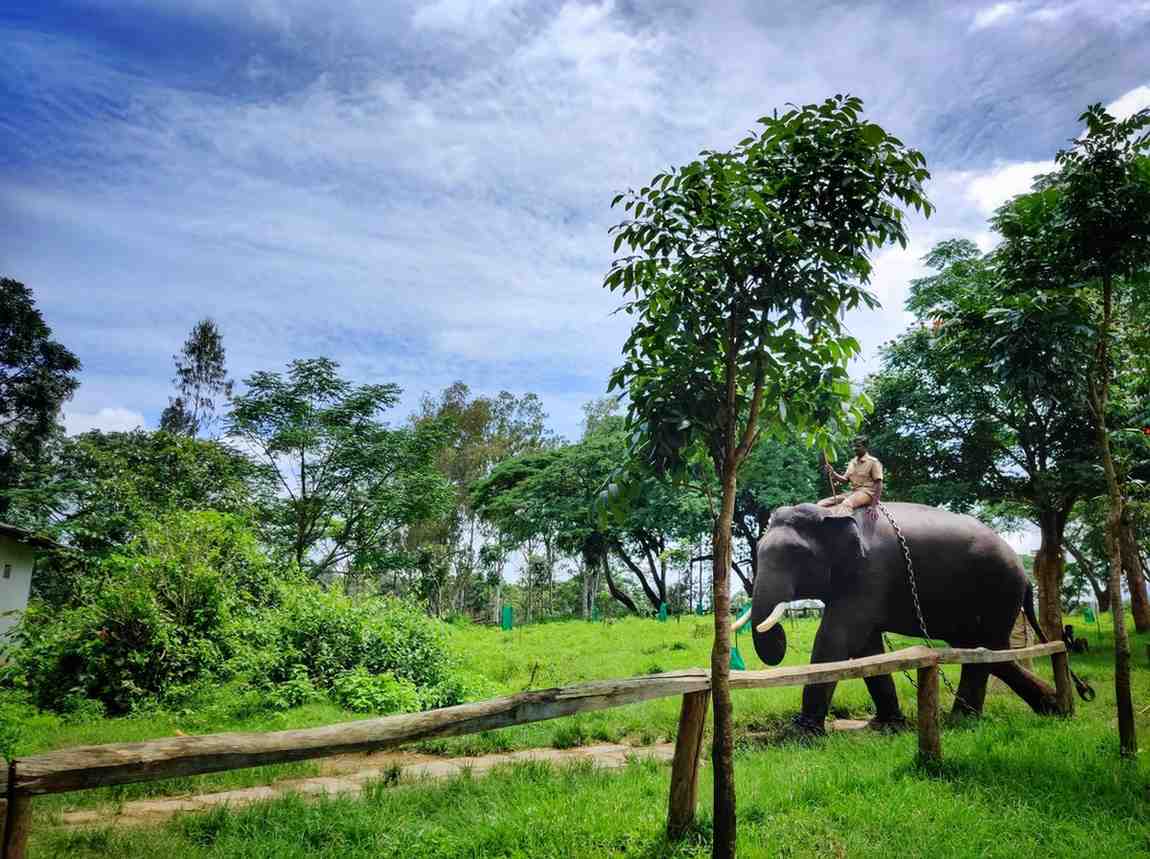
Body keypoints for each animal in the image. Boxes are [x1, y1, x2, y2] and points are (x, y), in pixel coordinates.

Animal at [749, 503, 1062, 731]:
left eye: (797, 553)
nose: (781, 635)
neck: (833, 511)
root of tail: (1026, 579)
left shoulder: (872, 572)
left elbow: (836, 638)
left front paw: (802, 733)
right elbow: (865, 649)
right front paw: (886, 726)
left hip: (998, 591)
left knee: (986, 651)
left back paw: (962, 722)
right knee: (985, 653)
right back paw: (1053, 707)